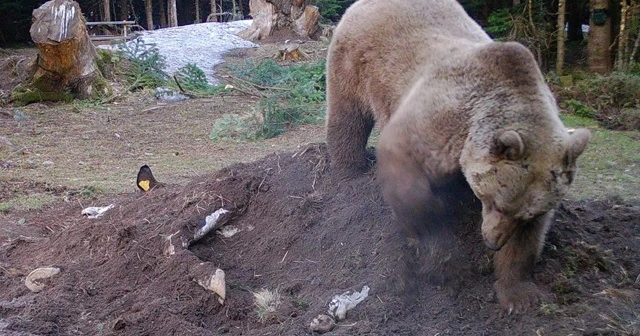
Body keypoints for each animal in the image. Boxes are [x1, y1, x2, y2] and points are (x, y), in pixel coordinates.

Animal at [328, 0, 592, 312]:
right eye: (495, 202)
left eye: (522, 214)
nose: (492, 242)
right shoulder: (445, 120)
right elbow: (406, 168)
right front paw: (440, 258)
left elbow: (528, 241)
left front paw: (519, 294)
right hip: (355, 59)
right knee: (348, 116)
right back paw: (349, 168)